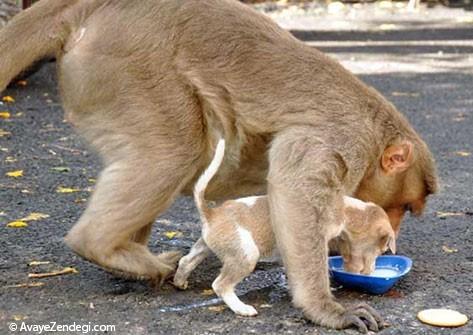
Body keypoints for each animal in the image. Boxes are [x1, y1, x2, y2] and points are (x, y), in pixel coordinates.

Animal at [173, 139, 394, 318]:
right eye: (382, 249)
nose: (370, 272)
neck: (347, 209)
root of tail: (212, 213)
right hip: (246, 254)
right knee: (221, 285)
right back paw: (242, 308)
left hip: (206, 246)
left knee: (186, 261)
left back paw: (179, 281)